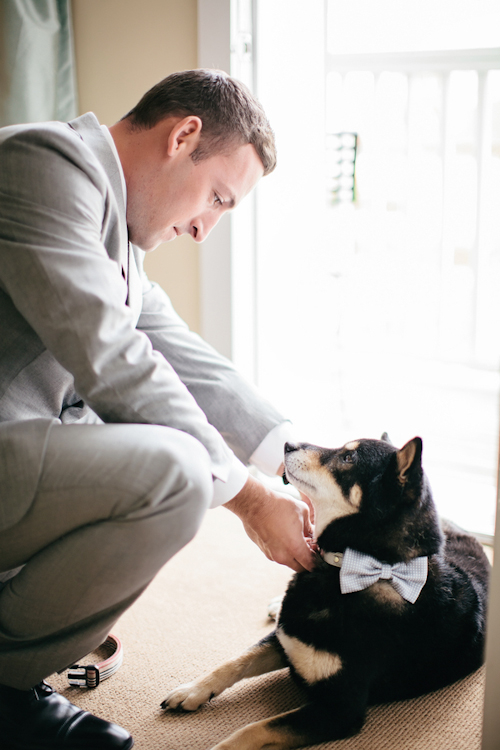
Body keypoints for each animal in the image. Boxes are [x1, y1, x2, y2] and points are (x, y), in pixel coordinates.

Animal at [162, 438, 490, 748]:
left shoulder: (339, 709)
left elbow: (253, 730)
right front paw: (192, 691)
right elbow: (234, 662)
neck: (351, 568)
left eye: (348, 457)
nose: (288, 444)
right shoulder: (286, 637)